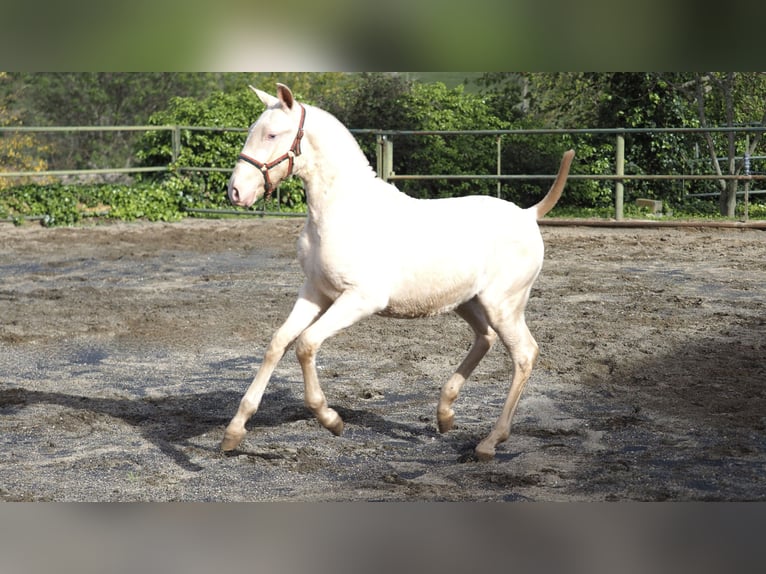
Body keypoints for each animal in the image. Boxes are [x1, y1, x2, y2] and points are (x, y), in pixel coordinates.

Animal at [219, 83, 572, 462]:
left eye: (272, 134)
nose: (236, 191)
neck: (341, 212)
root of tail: (528, 214)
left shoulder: (360, 299)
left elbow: (306, 344)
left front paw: (330, 419)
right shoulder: (315, 291)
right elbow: (278, 343)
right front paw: (234, 431)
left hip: (503, 304)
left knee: (524, 354)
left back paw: (489, 442)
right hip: (468, 302)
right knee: (485, 338)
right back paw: (445, 414)